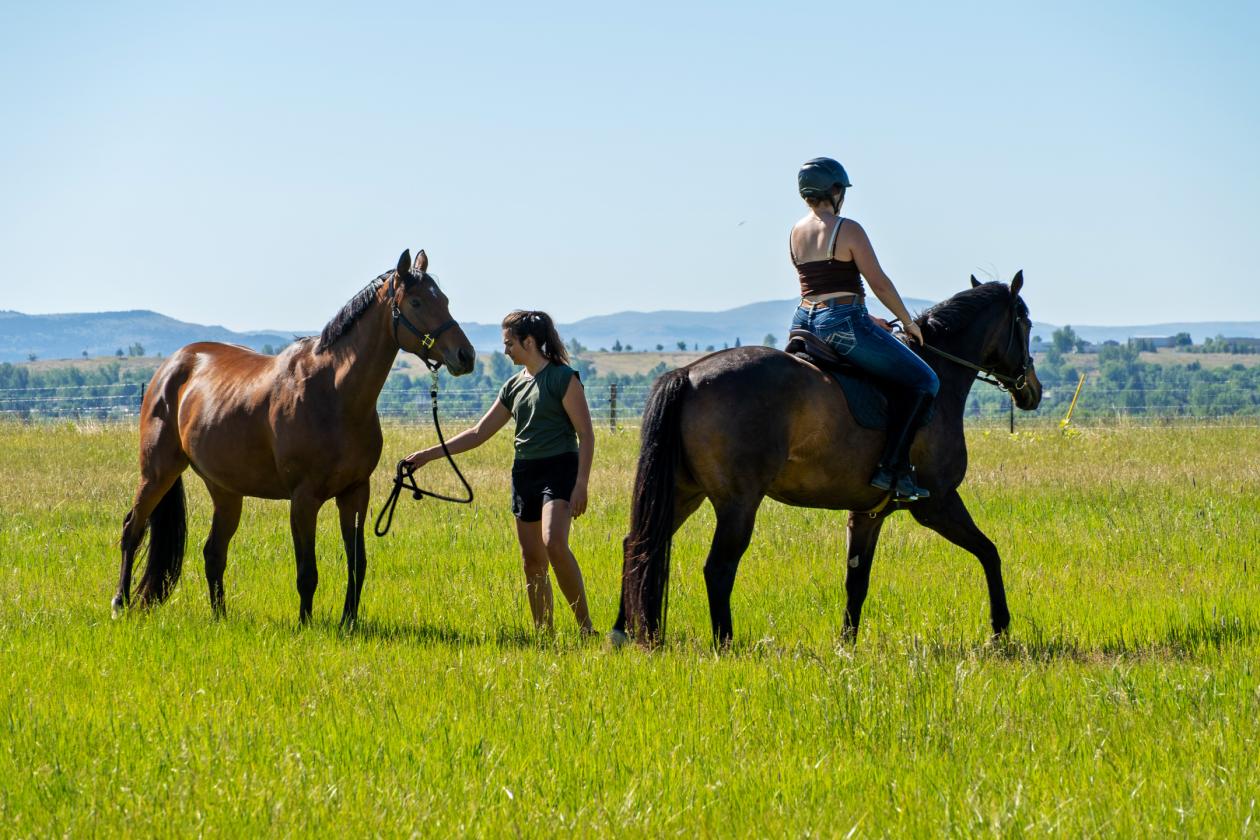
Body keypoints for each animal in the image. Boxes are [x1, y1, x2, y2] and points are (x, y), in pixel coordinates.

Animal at [113, 249, 476, 626]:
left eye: (445, 299)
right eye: (417, 302)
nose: (465, 356)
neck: (335, 394)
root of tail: (171, 366)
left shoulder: (355, 494)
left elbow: (357, 563)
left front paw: (349, 622)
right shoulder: (304, 499)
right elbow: (307, 571)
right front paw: (305, 624)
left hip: (225, 490)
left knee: (213, 552)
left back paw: (220, 616)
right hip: (157, 472)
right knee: (132, 530)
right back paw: (119, 603)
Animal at [614, 272, 1043, 647]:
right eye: (1025, 322)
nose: (1032, 391)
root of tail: (689, 374)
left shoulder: (868, 513)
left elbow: (857, 581)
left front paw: (846, 644)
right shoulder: (937, 504)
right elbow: (990, 553)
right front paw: (1000, 629)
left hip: (684, 492)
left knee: (639, 542)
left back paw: (624, 633)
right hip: (737, 503)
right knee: (717, 568)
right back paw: (725, 643)